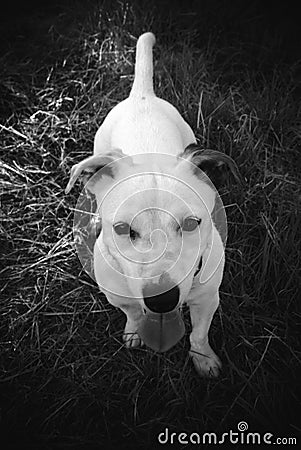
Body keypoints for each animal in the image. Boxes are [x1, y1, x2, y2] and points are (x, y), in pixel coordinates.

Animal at [66, 32, 239, 376]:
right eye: (122, 229)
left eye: (191, 223)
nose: (161, 301)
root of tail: (142, 96)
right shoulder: (119, 297)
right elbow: (133, 313)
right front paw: (134, 332)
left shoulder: (207, 298)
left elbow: (199, 333)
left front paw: (203, 359)